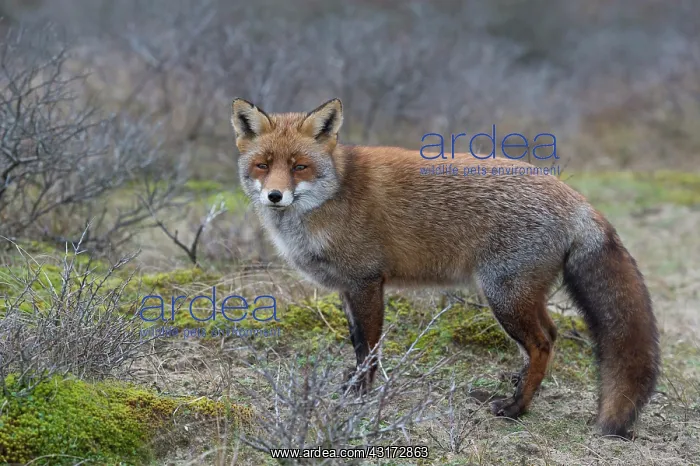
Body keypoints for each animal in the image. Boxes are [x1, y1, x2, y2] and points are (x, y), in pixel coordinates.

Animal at [230, 97, 660, 438]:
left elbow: (369, 349)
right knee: (551, 335)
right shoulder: (348, 288)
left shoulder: (367, 281)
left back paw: (516, 409)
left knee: (542, 343)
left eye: (299, 167)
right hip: (521, 295)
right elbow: (355, 343)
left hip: (503, 296)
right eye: (263, 165)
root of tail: (577, 199)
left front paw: (361, 396)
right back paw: (518, 388)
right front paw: (352, 385)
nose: (274, 196)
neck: (334, 193)